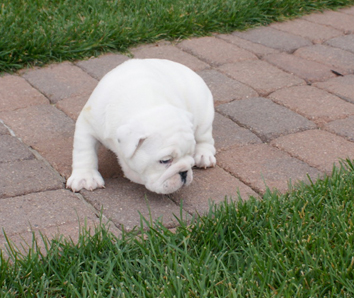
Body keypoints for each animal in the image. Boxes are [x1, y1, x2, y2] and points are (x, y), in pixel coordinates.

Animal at [66, 58, 216, 193]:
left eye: (189, 155)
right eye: (165, 161)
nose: (184, 172)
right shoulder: (87, 124)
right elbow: (84, 151)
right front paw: (85, 177)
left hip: (204, 114)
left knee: (205, 137)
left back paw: (204, 156)